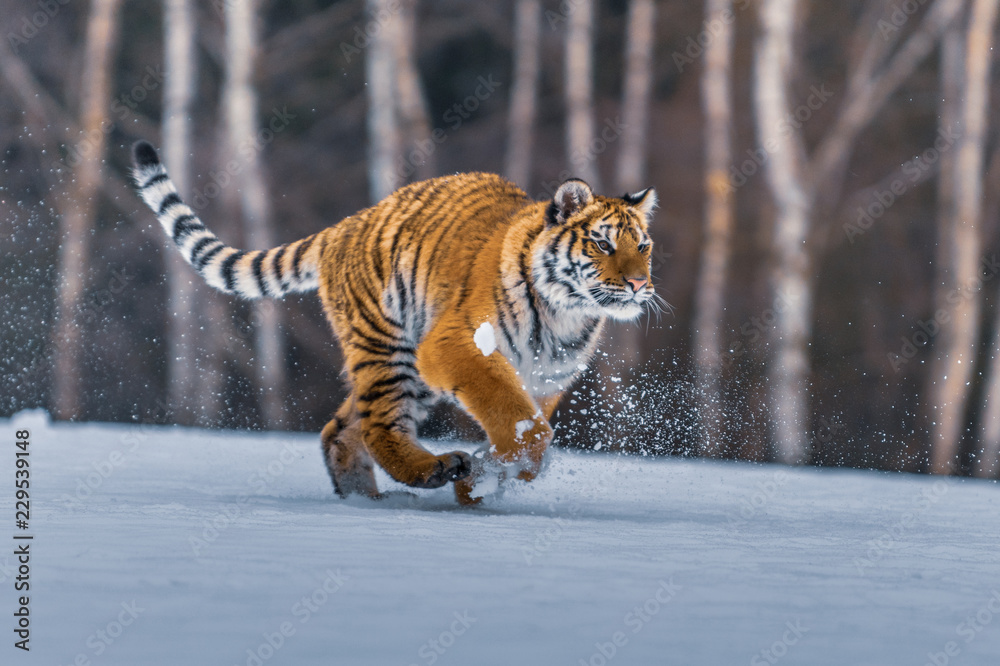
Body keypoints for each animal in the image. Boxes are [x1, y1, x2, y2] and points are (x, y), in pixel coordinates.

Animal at [135, 140, 664, 504]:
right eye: (603, 244)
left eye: (642, 245)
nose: (640, 284)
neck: (567, 313)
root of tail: (348, 222)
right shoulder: (456, 345)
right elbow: (522, 424)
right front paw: (487, 474)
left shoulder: (546, 379)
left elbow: (522, 428)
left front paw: (486, 477)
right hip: (391, 348)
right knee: (378, 425)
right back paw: (433, 471)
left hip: (410, 369)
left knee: (340, 427)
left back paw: (365, 499)